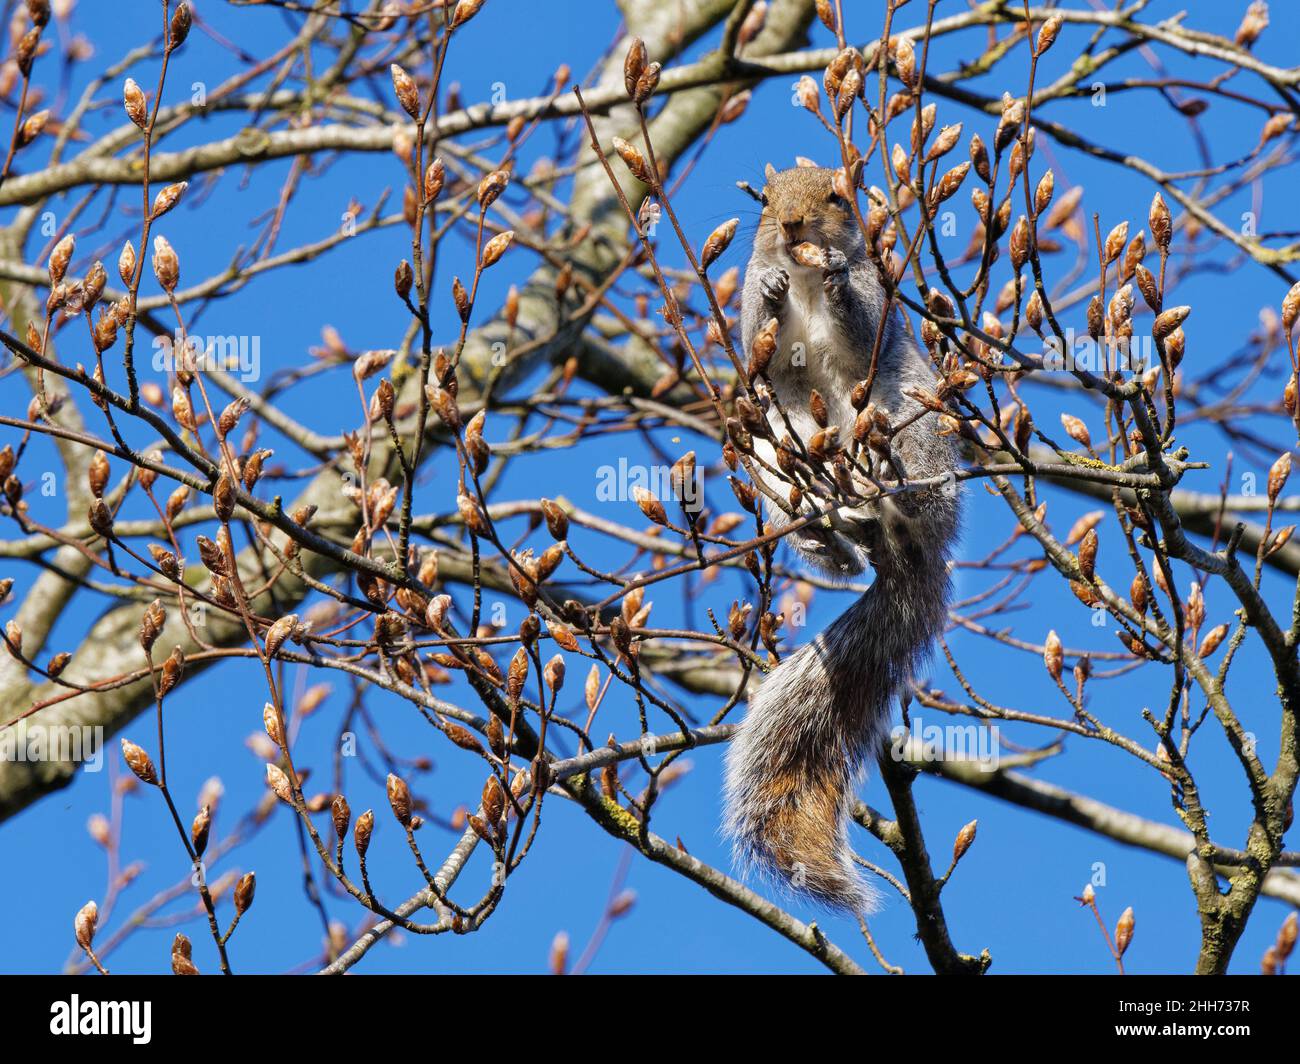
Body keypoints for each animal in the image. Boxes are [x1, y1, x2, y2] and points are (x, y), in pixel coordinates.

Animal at [728, 165, 961, 910]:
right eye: (768, 202)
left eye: (837, 197)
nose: (793, 226)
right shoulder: (758, 339)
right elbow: (757, 337)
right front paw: (773, 291)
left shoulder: (876, 303)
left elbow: (859, 323)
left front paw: (832, 279)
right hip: (779, 433)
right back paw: (829, 535)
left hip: (906, 411)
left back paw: (903, 495)